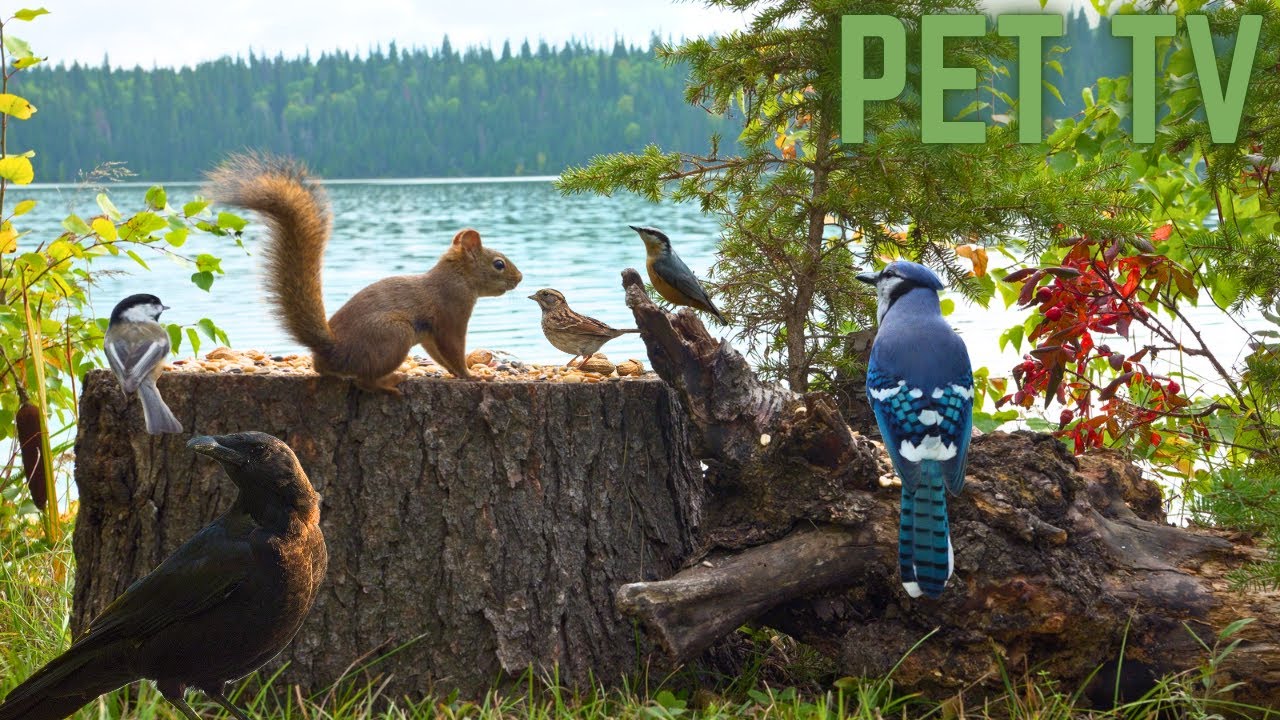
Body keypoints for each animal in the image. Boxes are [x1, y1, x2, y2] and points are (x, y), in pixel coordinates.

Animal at [206, 153, 523, 392]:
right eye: (499, 264)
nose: (520, 279)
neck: (456, 277)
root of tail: (334, 351)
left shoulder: (432, 334)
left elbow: (439, 355)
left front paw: (460, 374)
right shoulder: (451, 312)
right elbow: (454, 349)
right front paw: (471, 375)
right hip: (395, 335)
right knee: (364, 381)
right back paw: (389, 382)